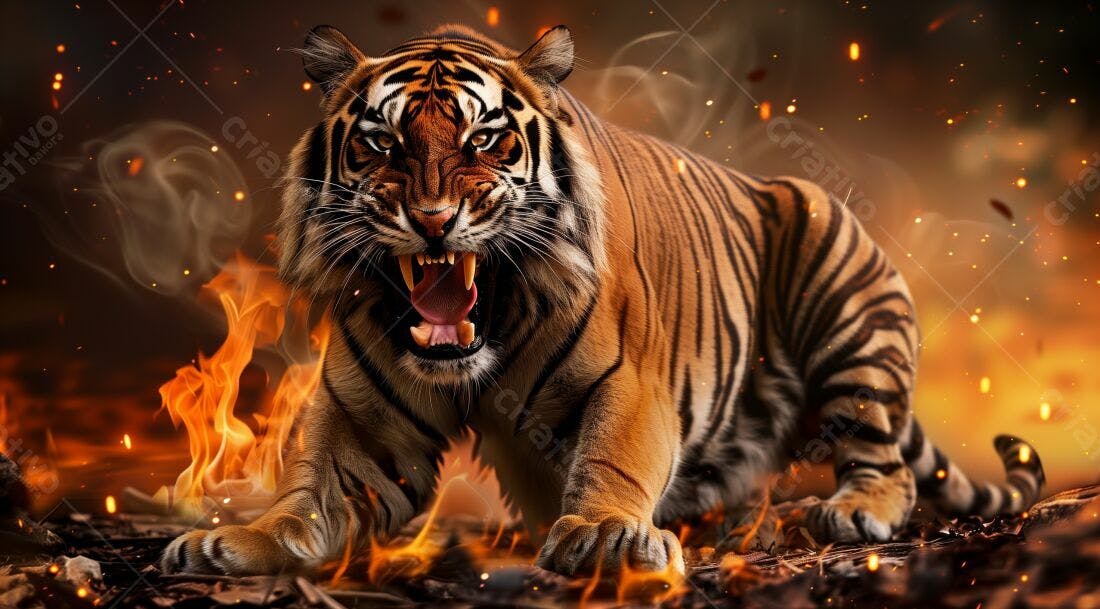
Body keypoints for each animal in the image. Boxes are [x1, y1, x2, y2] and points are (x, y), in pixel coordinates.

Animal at [162, 24, 1045, 577]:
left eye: (485, 139)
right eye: (383, 142)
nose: (433, 218)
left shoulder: (631, 383)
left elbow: (612, 456)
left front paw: (603, 536)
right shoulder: (364, 416)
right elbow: (312, 495)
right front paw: (234, 541)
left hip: (839, 285)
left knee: (883, 454)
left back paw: (853, 508)